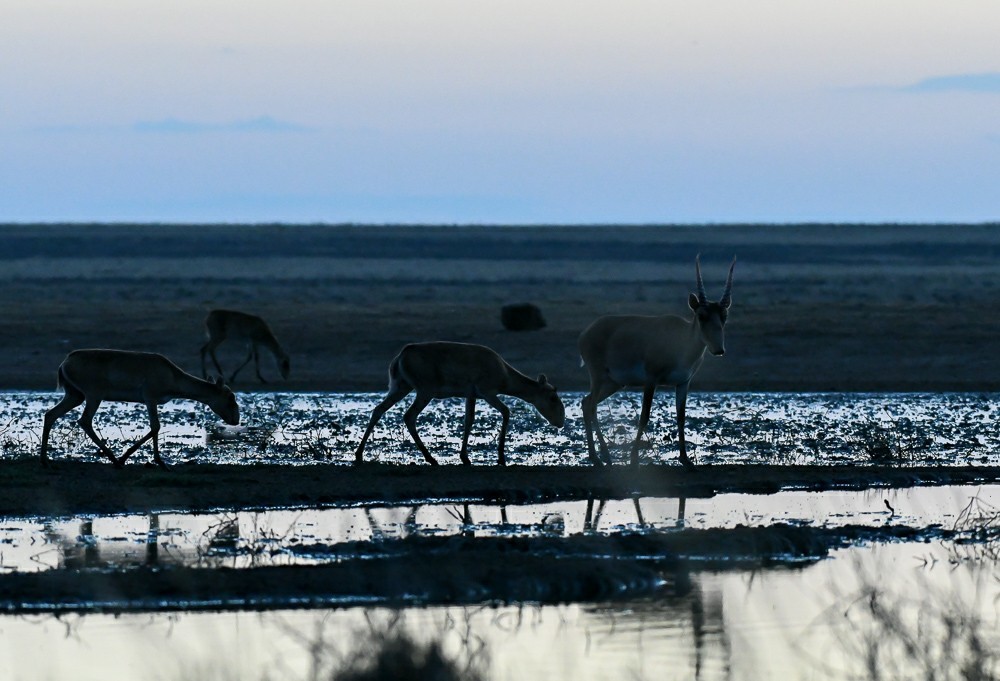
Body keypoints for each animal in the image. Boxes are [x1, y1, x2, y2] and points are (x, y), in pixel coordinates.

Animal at [42, 350, 241, 468]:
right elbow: (156, 427)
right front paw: (158, 461)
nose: (236, 419)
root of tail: (65, 362)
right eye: (231, 397)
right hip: (93, 395)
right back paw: (115, 460)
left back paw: (44, 458)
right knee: (84, 421)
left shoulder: (151, 401)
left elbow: (155, 427)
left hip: (75, 395)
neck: (173, 376)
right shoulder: (150, 398)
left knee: (50, 414)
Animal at [356, 342, 568, 464]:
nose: (560, 422)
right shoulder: (487, 392)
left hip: (400, 387)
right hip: (424, 391)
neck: (504, 374)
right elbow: (507, 412)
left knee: (378, 410)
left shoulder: (470, 395)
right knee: (409, 416)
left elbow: (469, 420)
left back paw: (359, 455)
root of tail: (401, 355)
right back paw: (431, 459)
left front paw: (465, 457)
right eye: (553, 397)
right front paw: (500, 457)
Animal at [580, 255, 736, 468]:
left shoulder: (683, 383)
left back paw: (599, 456)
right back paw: (601, 457)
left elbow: (681, 417)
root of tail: (586, 333)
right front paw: (634, 459)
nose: (718, 349)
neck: (680, 342)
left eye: (724, 316)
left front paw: (685, 459)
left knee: (586, 402)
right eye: (701, 315)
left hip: (614, 383)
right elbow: (644, 416)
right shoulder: (651, 380)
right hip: (597, 377)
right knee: (592, 406)